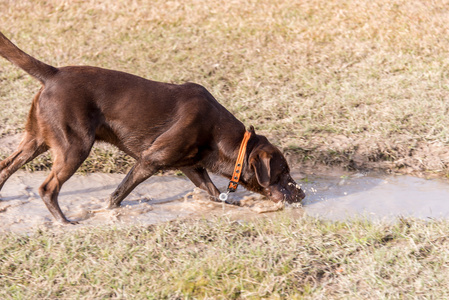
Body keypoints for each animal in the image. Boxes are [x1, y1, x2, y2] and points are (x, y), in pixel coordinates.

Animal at [0, 31, 304, 224]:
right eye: (283, 173)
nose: (301, 193)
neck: (223, 137)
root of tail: (53, 73)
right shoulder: (150, 160)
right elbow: (117, 195)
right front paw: (108, 212)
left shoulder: (192, 167)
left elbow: (214, 192)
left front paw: (234, 205)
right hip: (74, 146)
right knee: (47, 187)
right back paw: (64, 222)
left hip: (36, 140)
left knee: (6, 166)